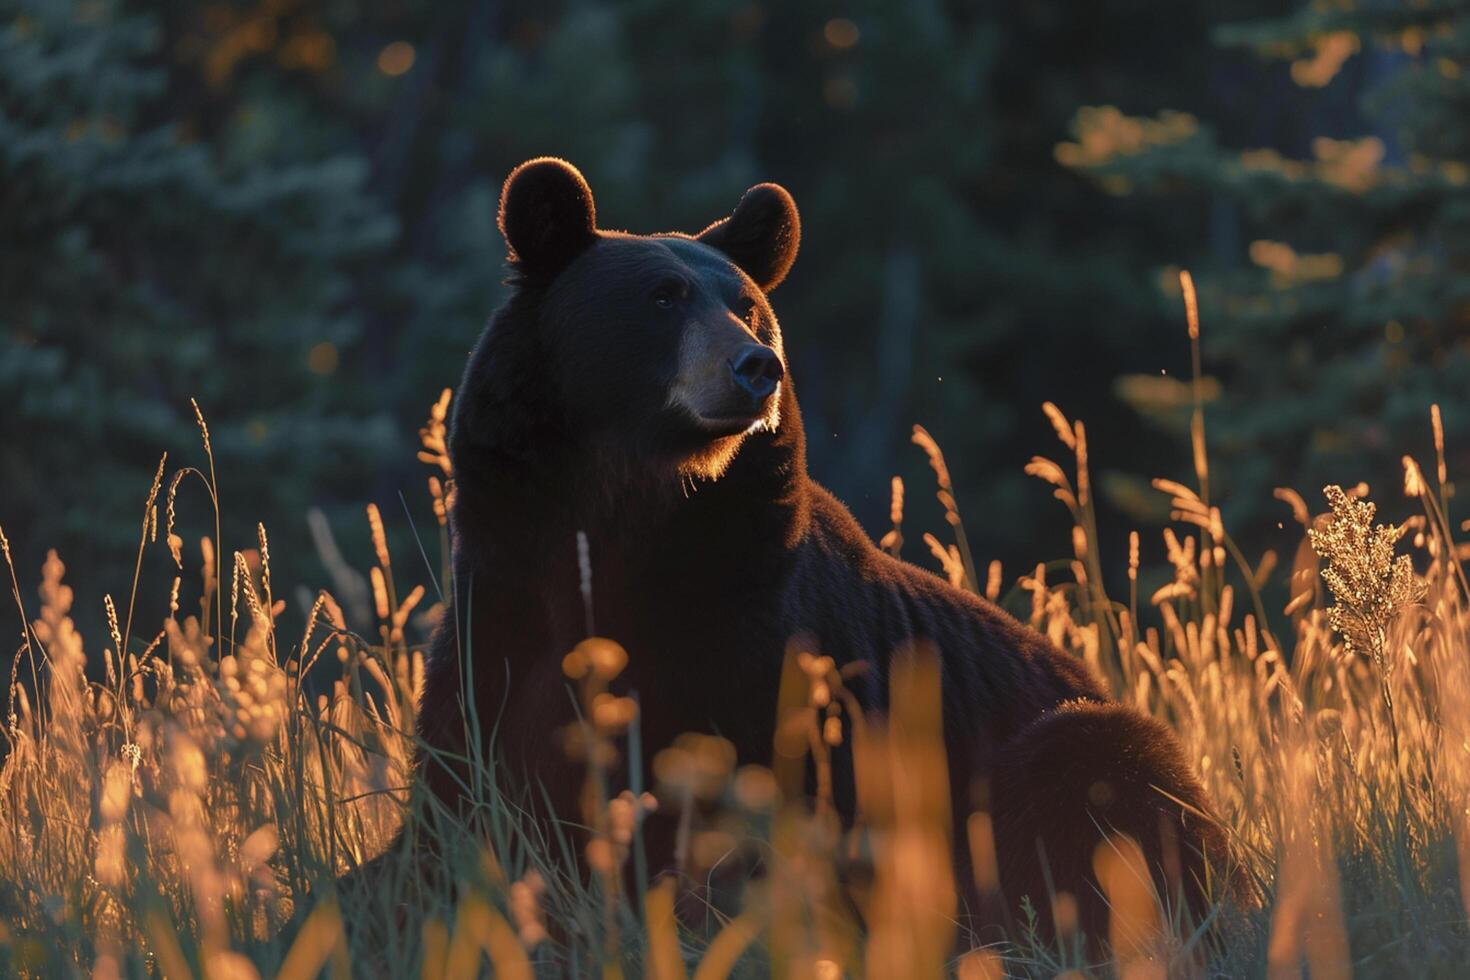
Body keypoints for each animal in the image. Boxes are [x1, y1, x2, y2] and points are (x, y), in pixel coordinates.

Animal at [417, 157, 1240, 946]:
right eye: (663, 298)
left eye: (747, 304)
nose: (757, 367)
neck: (628, 507)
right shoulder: (503, 596)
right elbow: (463, 782)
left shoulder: (755, 635)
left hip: (1060, 753)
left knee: (1100, 778)